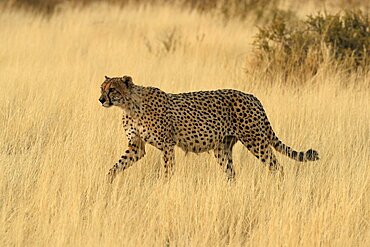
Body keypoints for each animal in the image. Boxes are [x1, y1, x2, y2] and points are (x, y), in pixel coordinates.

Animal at [99, 74, 320, 182]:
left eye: (113, 90)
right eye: (101, 88)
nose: (101, 99)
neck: (129, 105)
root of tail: (252, 96)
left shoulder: (167, 145)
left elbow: (168, 169)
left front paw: (164, 186)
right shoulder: (137, 146)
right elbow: (117, 165)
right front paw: (107, 181)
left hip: (255, 141)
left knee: (278, 167)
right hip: (222, 149)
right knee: (231, 174)